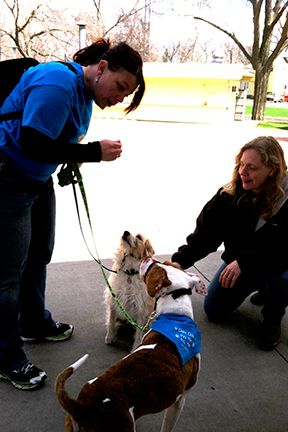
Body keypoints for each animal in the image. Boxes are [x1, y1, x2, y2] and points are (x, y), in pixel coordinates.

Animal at [55, 258, 206, 430]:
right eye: (155, 265)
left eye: (159, 263)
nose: (149, 258)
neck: (176, 317)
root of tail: (82, 407)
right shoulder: (179, 401)